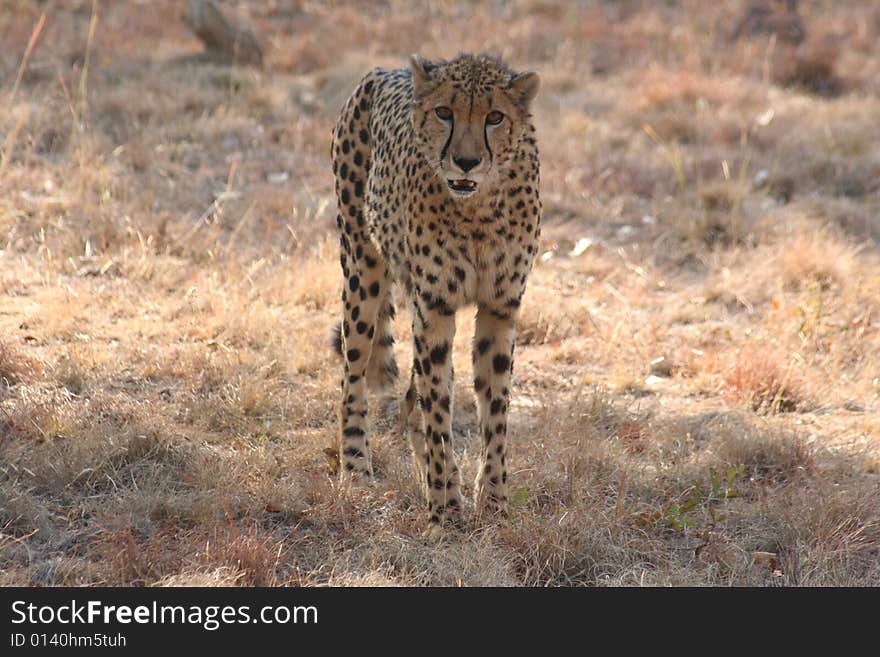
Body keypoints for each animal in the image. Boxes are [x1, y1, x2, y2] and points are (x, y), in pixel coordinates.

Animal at [330, 55, 540, 528]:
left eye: (495, 117)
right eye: (444, 112)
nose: (465, 161)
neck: (477, 208)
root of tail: (381, 70)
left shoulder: (501, 307)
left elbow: (494, 408)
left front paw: (492, 503)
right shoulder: (435, 307)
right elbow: (439, 408)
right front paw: (444, 513)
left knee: (411, 399)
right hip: (362, 267)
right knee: (354, 374)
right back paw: (356, 468)